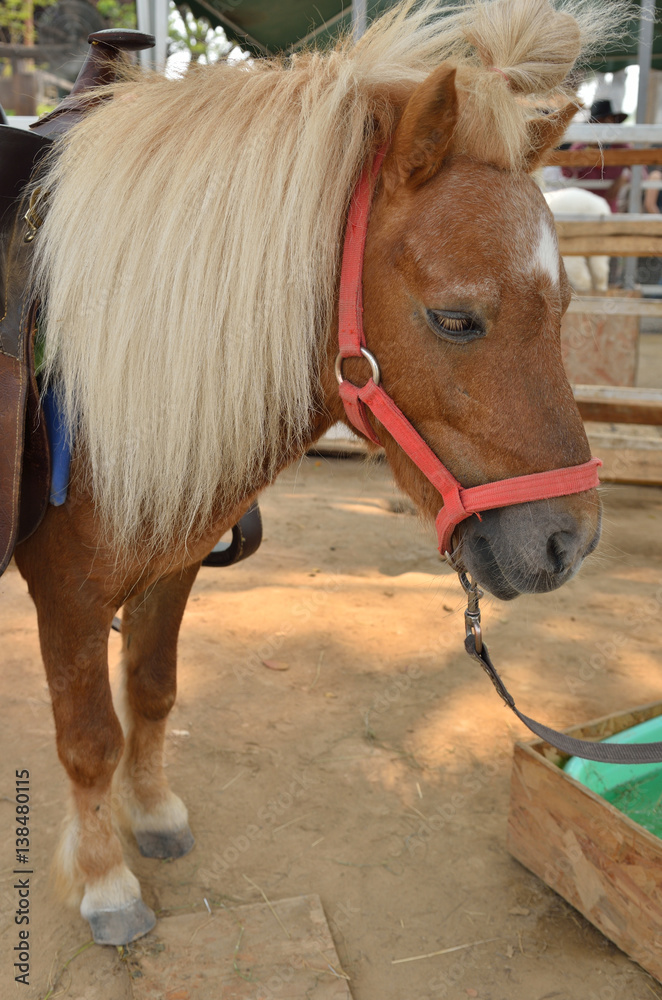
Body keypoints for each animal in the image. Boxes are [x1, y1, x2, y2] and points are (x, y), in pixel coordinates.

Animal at [12, 0, 620, 946]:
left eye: (561, 309)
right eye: (455, 319)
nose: (570, 541)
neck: (98, 364)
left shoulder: (171, 566)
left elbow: (152, 693)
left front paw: (154, 816)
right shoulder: (69, 596)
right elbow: (88, 739)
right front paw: (107, 882)